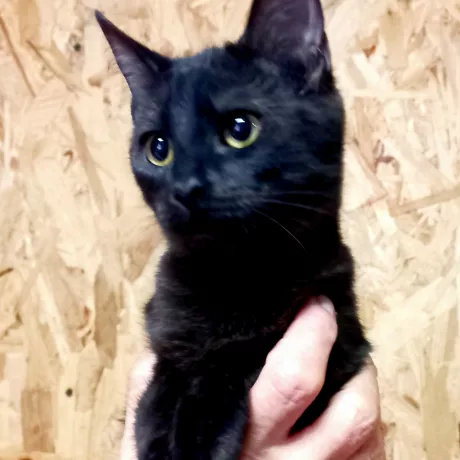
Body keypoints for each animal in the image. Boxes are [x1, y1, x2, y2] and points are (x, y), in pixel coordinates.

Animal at [96, 0, 370, 458]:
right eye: (158, 149)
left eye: (241, 129)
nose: (186, 188)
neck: (228, 277)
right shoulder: (165, 338)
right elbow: (161, 388)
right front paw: (162, 431)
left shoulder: (343, 338)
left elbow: (235, 365)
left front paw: (201, 428)